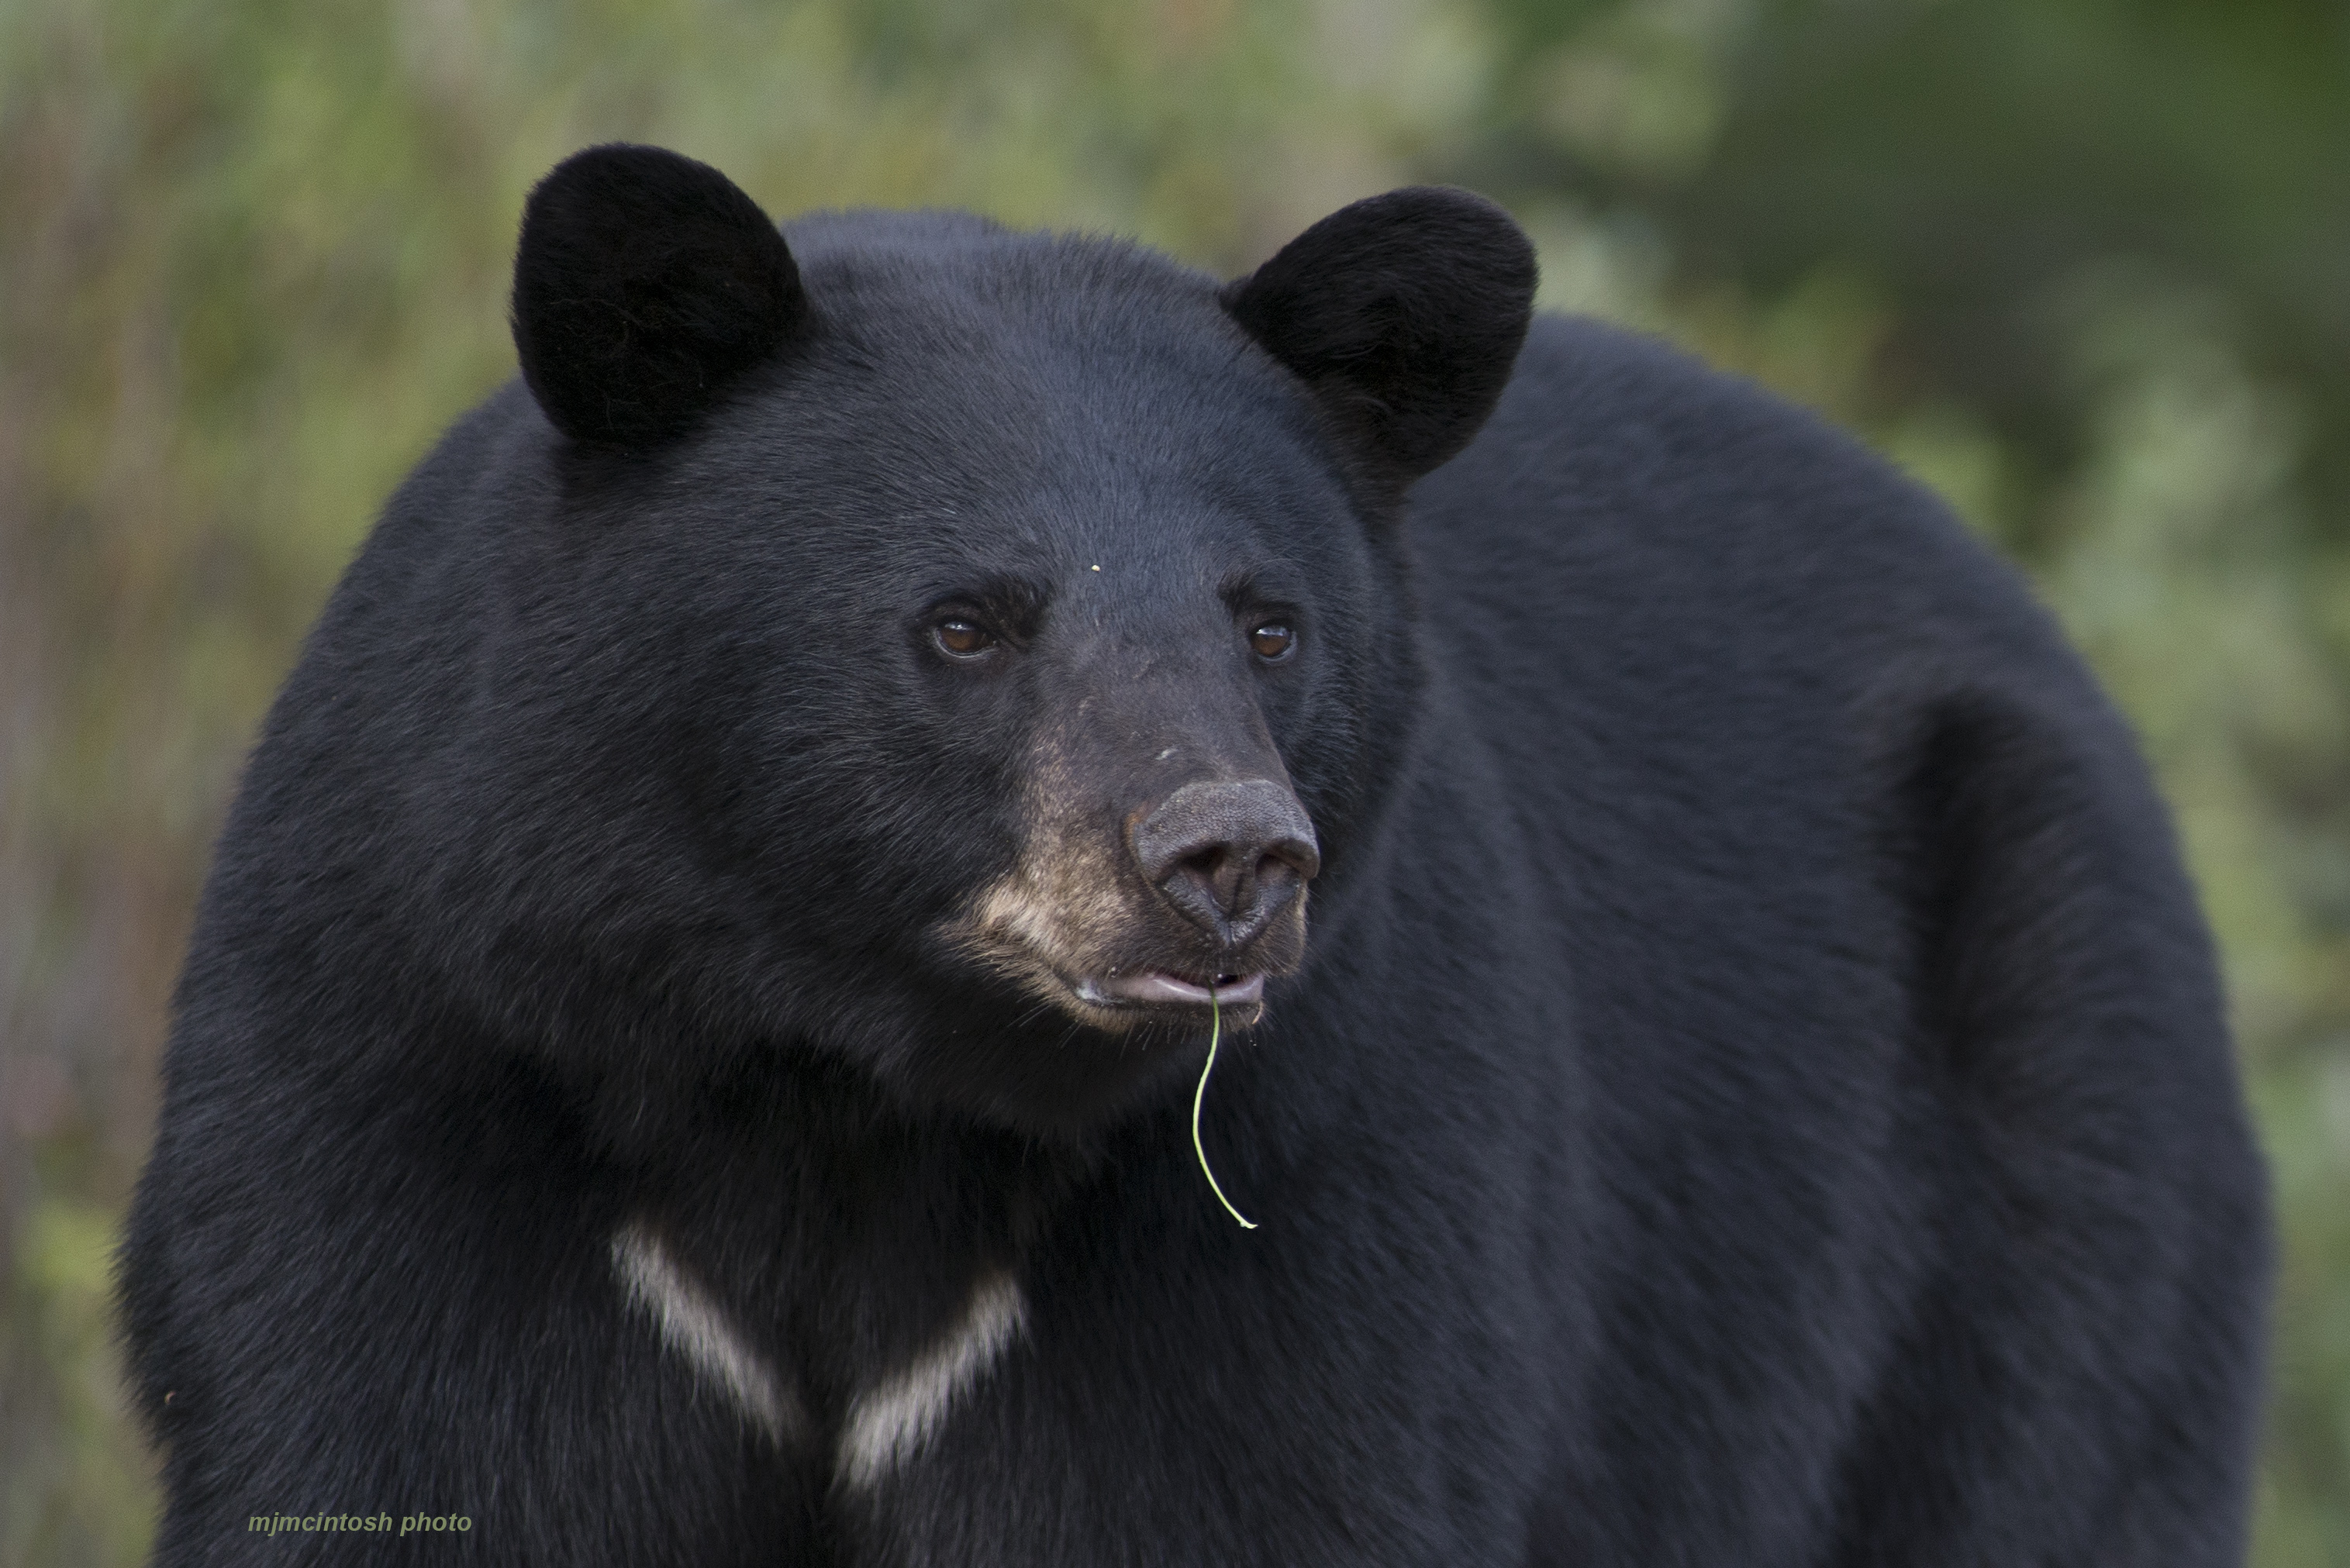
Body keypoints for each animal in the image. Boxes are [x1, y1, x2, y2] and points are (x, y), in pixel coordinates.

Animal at [119, 140, 2265, 1560]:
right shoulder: (420, 1081)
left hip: (2046, 1181)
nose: (1229, 858)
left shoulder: (1307, 1183)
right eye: (966, 623)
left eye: (1268, 623)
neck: (841, 1081)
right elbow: (407, 1448)